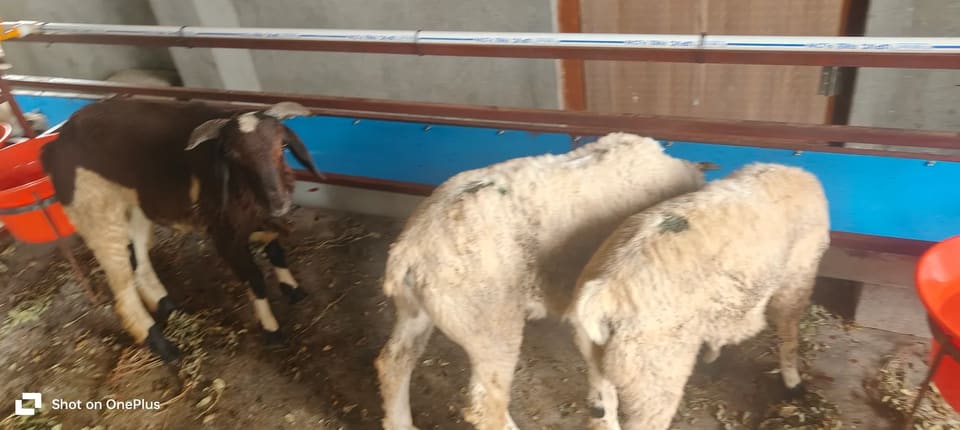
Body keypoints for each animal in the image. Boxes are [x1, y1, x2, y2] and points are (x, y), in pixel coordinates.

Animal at [40, 98, 321, 363]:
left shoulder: (259, 218)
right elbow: (254, 278)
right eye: (233, 156)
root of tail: (55, 145)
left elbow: (275, 249)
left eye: (282, 146)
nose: (279, 203)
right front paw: (272, 330)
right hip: (98, 218)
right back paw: (163, 347)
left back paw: (168, 306)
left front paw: (293, 289)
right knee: (122, 289)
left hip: (136, 210)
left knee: (139, 262)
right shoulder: (224, 233)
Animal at [375, 133, 717, 430]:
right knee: (487, 404)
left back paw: (400, 423)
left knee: (394, 362)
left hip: (416, 309)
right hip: (488, 320)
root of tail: (410, 247)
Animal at [566, 163, 830, 430]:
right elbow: (789, 336)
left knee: (603, 414)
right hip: (654, 372)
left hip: (598, 361)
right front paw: (793, 383)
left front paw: (713, 352)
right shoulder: (797, 278)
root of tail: (601, 292)